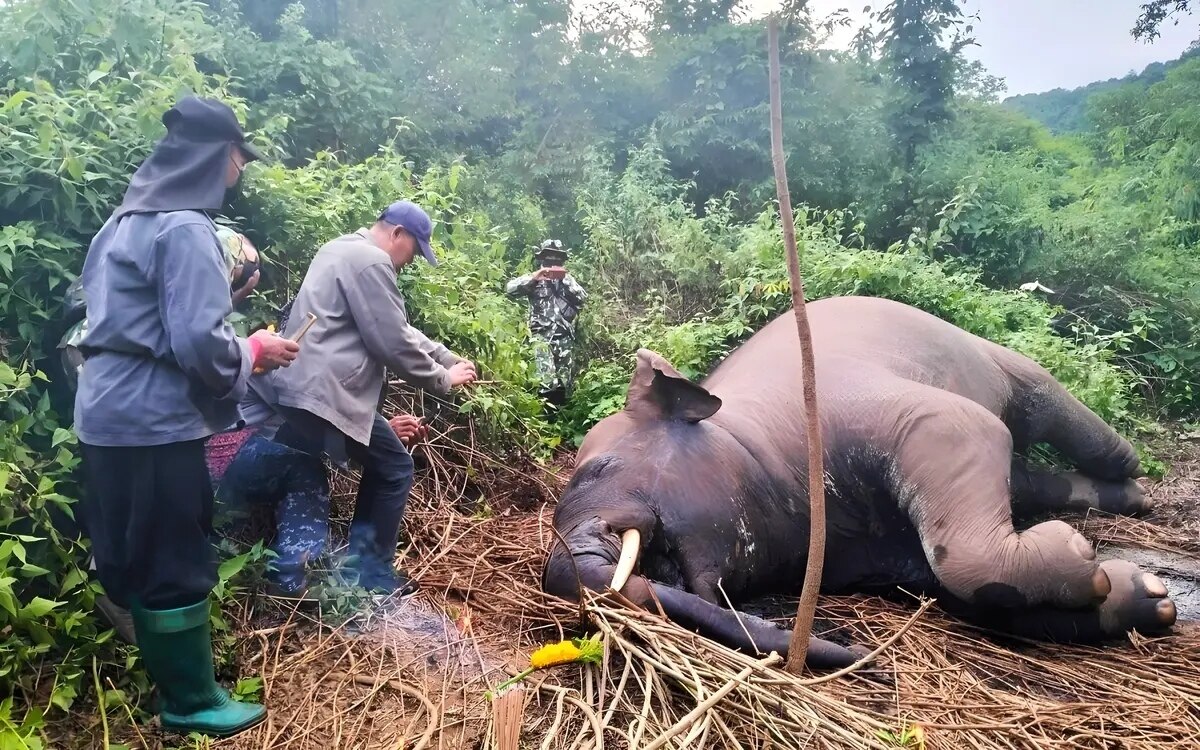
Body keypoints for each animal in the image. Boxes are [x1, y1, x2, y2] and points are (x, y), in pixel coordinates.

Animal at [542, 294, 1171, 667]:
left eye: (597, 468)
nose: (852, 646)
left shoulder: (906, 416)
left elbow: (966, 540)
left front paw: (1079, 552)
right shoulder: (874, 556)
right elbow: (967, 597)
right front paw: (1145, 596)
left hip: (992, 358)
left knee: (1042, 402)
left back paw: (1130, 471)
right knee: (1028, 478)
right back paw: (1129, 499)